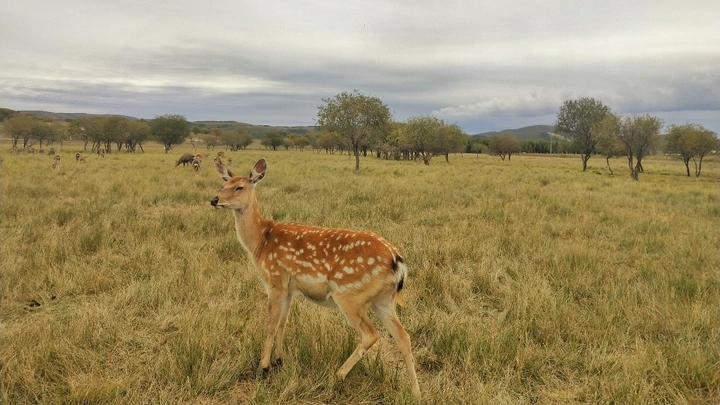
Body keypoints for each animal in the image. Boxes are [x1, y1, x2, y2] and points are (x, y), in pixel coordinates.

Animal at [210, 158, 421, 398]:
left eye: (239, 187)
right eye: (223, 184)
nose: (214, 200)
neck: (261, 242)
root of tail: (398, 261)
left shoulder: (275, 279)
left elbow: (271, 323)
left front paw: (263, 367)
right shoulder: (289, 288)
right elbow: (283, 322)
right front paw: (278, 361)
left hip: (349, 295)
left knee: (370, 334)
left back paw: (337, 375)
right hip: (383, 300)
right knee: (403, 337)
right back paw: (416, 391)